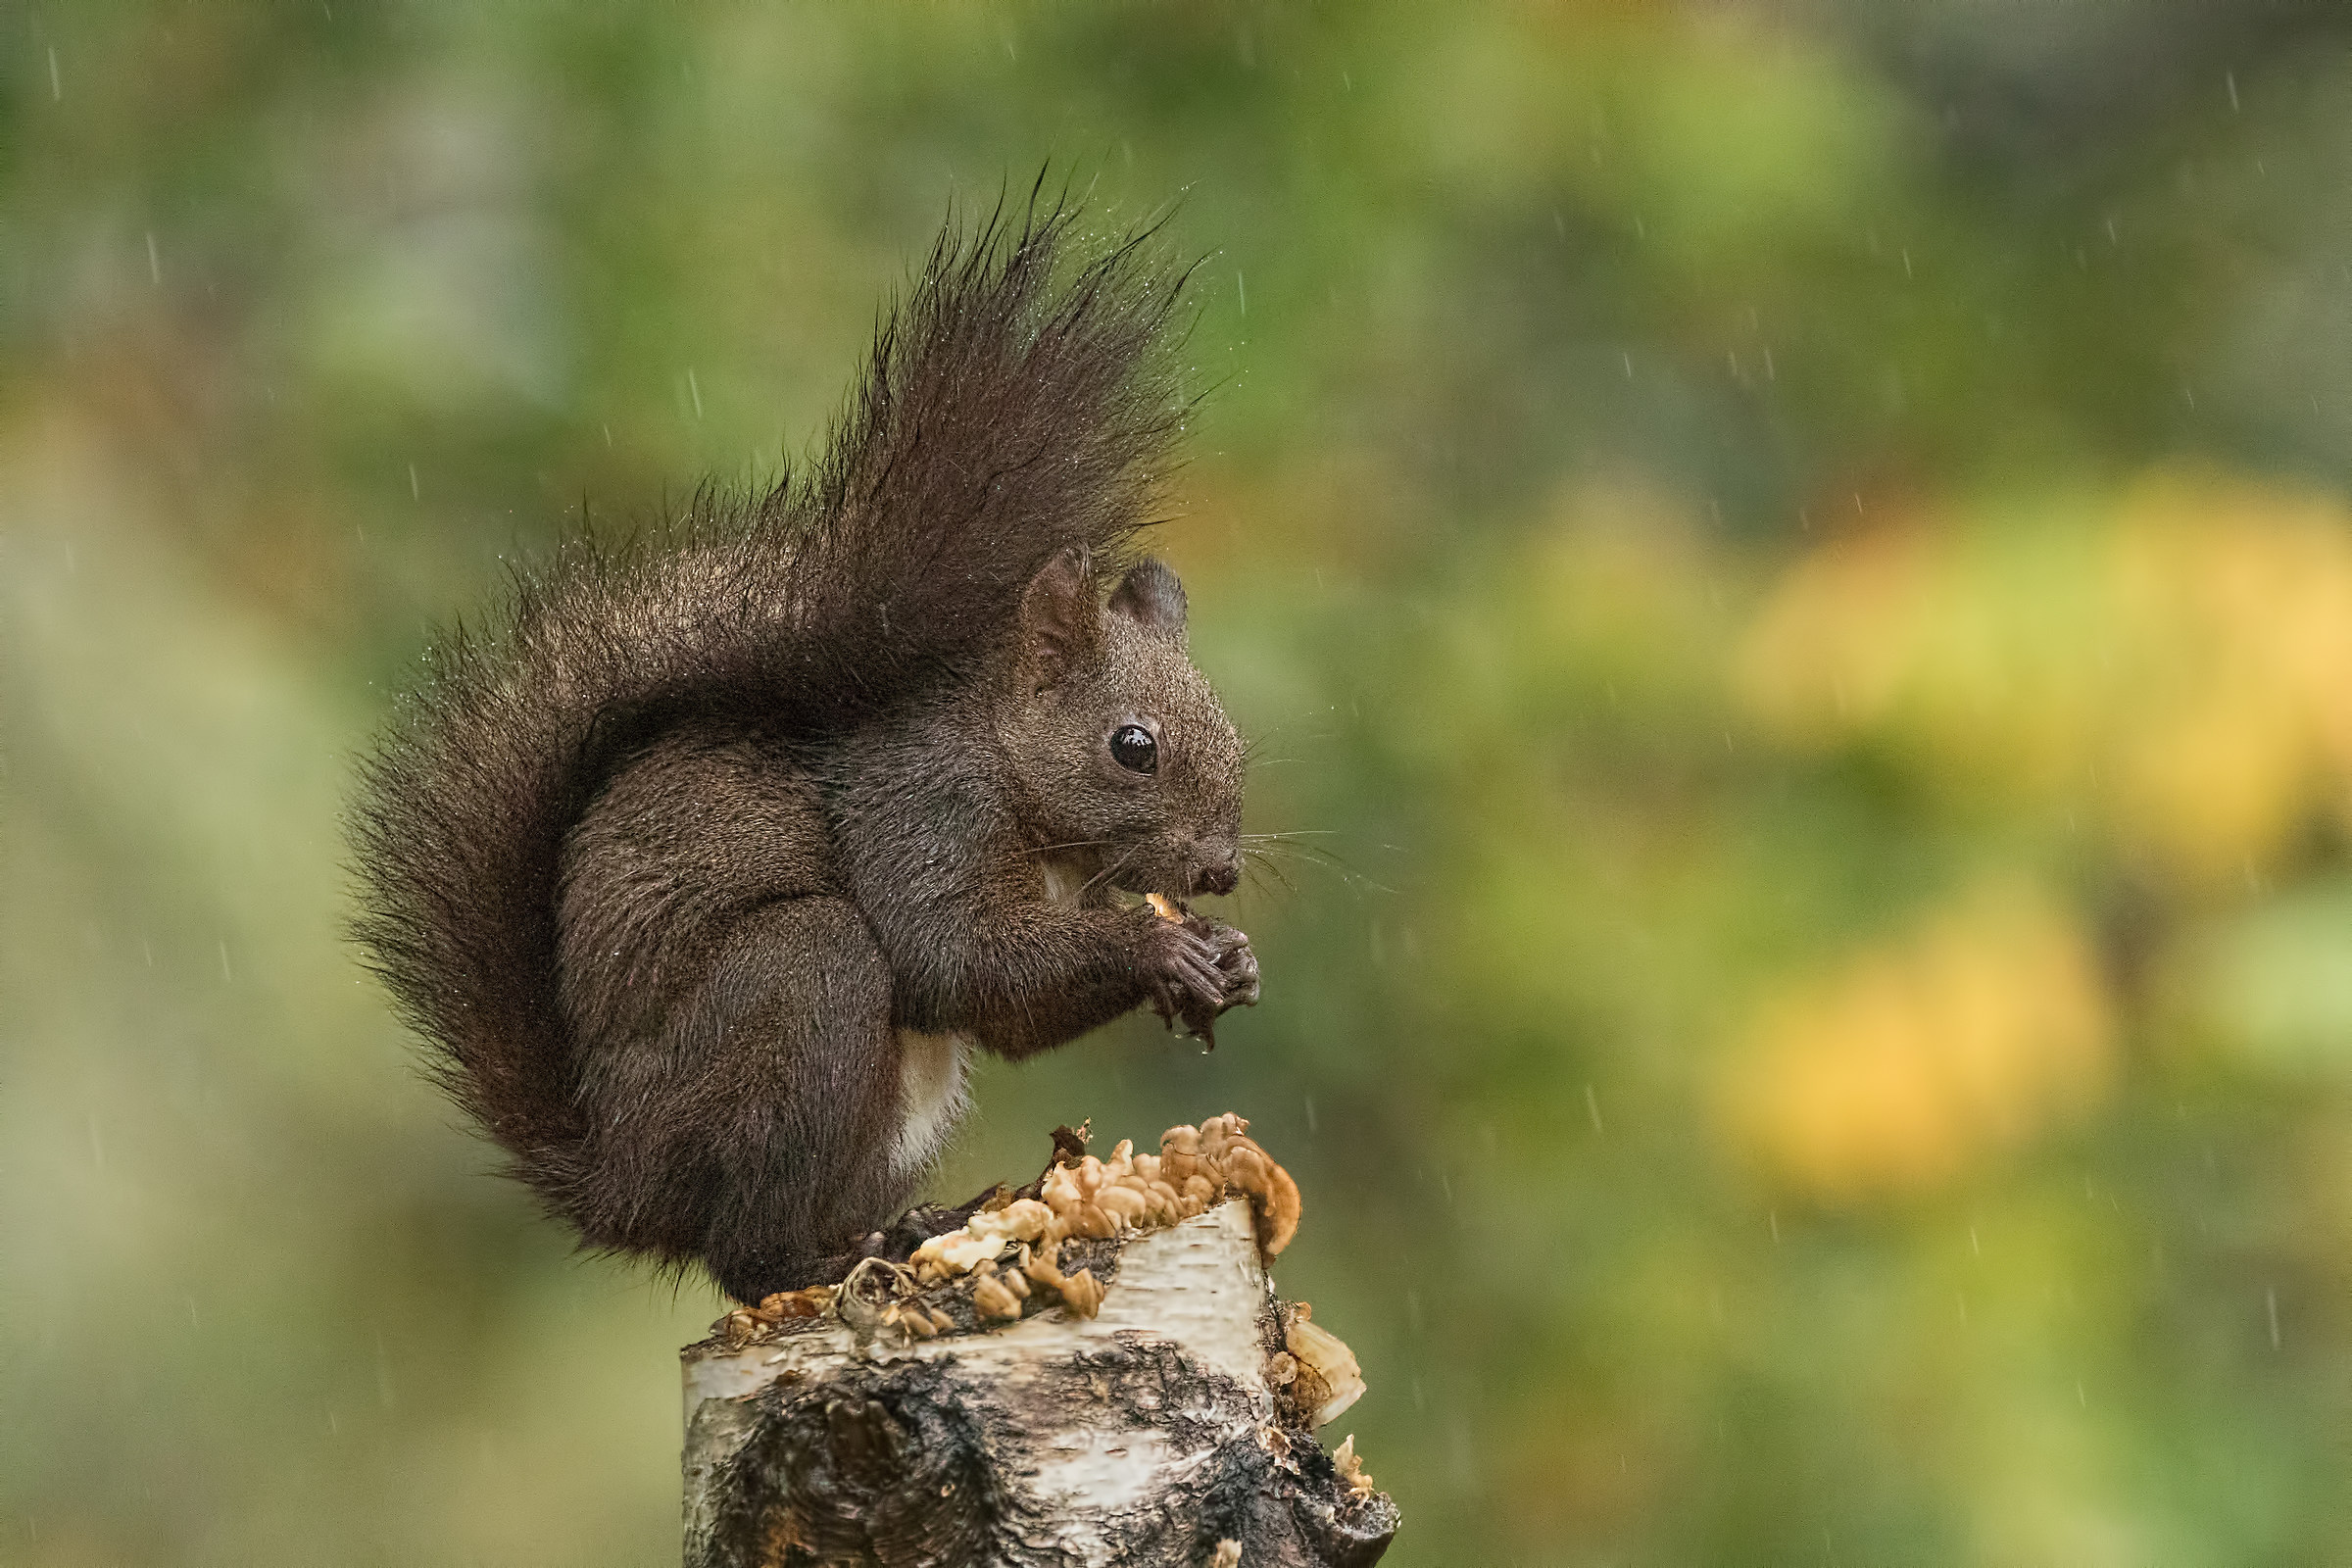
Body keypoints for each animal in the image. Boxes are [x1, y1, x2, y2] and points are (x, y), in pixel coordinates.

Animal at [350, 202, 1260, 1305]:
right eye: (1134, 747)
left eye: (1236, 739)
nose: (1220, 869)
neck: (1012, 776)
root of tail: (619, 1183)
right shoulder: (919, 805)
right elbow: (954, 956)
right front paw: (1159, 948)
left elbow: (1003, 1012)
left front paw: (1233, 960)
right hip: (797, 986)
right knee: (748, 1250)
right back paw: (836, 1255)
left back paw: (918, 1224)